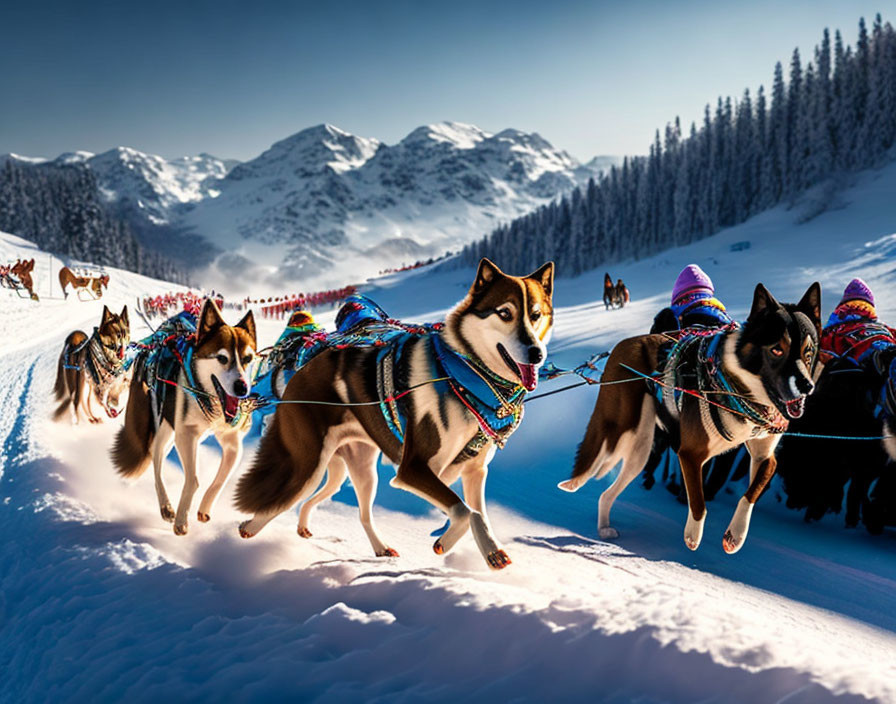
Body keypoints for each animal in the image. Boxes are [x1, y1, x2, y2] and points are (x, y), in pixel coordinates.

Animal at [111, 300, 258, 536]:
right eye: (222, 358)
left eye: (248, 358)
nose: (242, 387)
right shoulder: (186, 435)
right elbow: (193, 480)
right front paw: (181, 519)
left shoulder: (232, 442)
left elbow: (221, 480)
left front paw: (204, 508)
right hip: (163, 429)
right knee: (155, 462)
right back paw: (166, 507)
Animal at [233, 258, 552, 572]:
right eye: (505, 312)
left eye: (536, 314)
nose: (537, 353)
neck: (462, 376)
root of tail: (305, 367)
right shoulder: (413, 469)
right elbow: (465, 511)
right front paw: (445, 542)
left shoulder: (475, 471)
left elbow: (478, 513)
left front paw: (491, 552)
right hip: (308, 465)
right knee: (281, 501)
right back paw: (248, 527)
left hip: (358, 471)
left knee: (352, 511)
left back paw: (373, 546)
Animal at [564, 284, 824, 552]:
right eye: (776, 349)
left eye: (808, 352)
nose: (807, 386)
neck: (739, 388)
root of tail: (622, 345)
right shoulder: (690, 454)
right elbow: (698, 502)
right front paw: (693, 535)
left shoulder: (764, 456)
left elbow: (751, 493)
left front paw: (736, 534)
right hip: (619, 431)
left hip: (640, 450)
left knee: (607, 494)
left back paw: (604, 528)